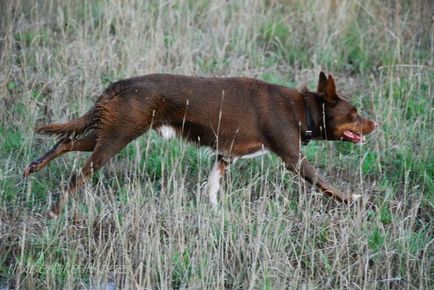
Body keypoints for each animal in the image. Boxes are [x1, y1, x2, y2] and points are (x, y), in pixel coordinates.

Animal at [23, 72, 376, 218]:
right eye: (355, 113)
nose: (376, 124)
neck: (301, 109)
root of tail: (119, 85)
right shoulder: (294, 158)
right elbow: (327, 184)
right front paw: (356, 201)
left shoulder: (224, 156)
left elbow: (212, 187)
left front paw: (215, 212)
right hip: (115, 138)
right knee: (77, 174)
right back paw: (55, 210)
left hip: (105, 132)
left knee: (64, 141)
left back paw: (33, 168)